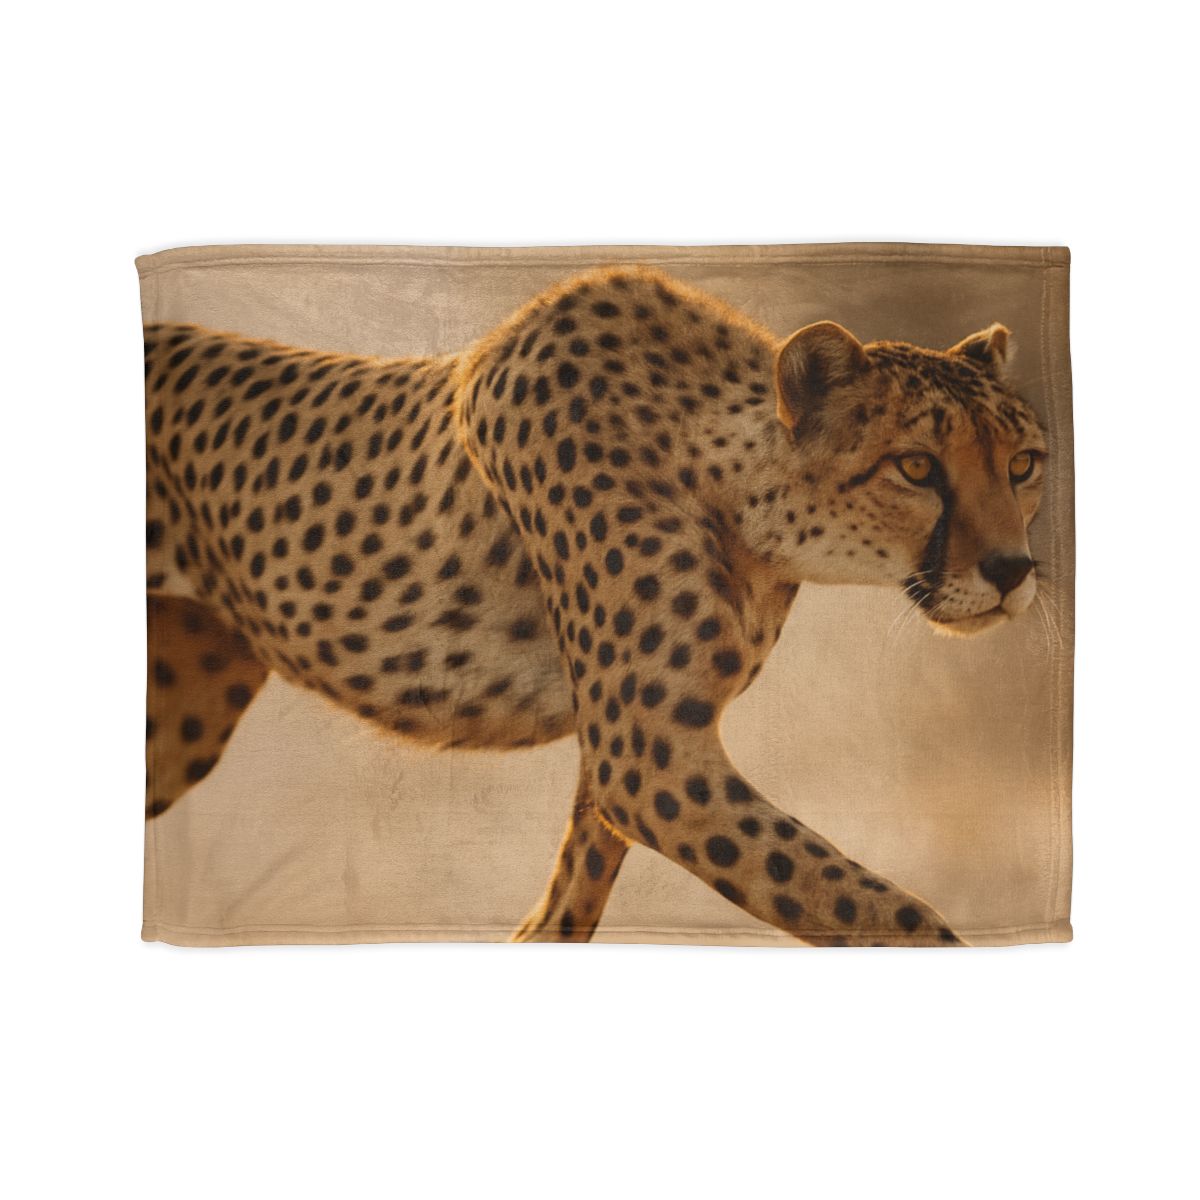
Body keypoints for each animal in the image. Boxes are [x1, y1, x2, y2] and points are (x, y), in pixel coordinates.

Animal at [144, 265, 1047, 946]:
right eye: (917, 467)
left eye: (1025, 463)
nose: (1013, 570)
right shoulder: (648, 759)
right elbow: (871, 906)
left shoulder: (627, 749)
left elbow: (569, 901)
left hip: (186, 702)